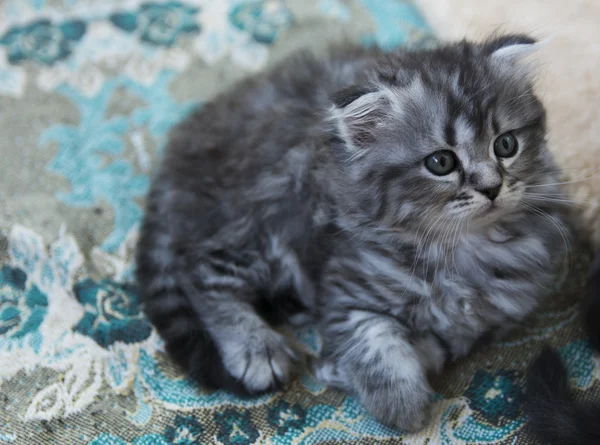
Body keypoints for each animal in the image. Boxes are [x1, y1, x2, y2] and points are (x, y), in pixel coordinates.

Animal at [136, 34, 568, 430]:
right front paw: (401, 405)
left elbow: (436, 345)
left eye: (506, 144)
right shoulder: (346, 287)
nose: (492, 187)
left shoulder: (488, 318)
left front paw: (347, 370)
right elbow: (374, 345)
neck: (462, 249)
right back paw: (257, 348)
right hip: (269, 212)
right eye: (441, 162)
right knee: (201, 269)